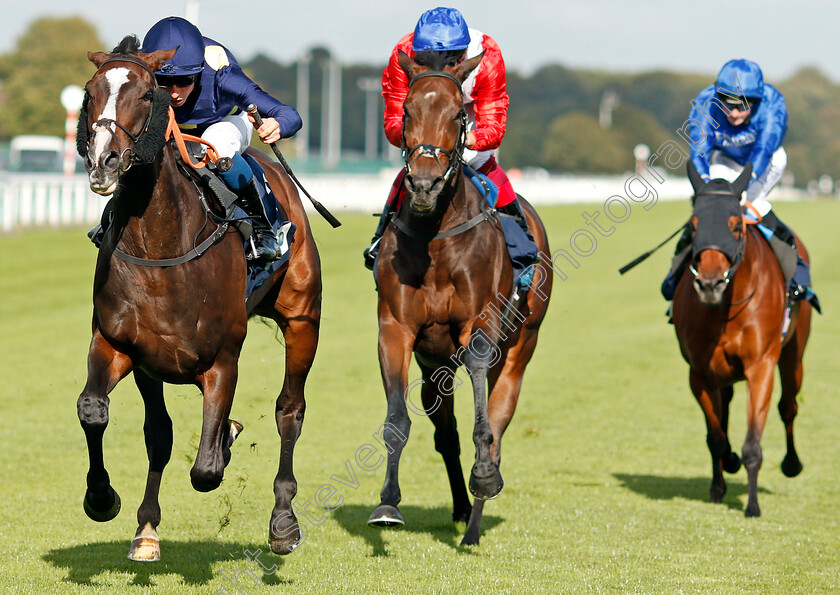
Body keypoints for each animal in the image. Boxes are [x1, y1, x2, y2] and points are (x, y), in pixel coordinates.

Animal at [79, 39, 322, 560]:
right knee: (159, 433)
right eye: (90, 93)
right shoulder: (120, 346)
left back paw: (284, 522)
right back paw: (147, 526)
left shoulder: (222, 359)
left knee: (289, 410)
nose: (104, 161)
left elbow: (207, 469)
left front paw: (224, 441)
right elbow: (98, 411)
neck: (161, 247)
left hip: (302, 319)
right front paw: (104, 499)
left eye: (147, 94)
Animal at [368, 50, 552, 544]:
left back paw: (474, 520)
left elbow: (483, 419)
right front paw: (388, 503)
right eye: (407, 111)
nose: (424, 184)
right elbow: (397, 421)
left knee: (499, 423)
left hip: (522, 346)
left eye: (458, 114)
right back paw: (460, 507)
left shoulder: (479, 325)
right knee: (445, 433)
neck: (436, 236)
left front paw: (484, 477)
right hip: (435, 364)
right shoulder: (397, 329)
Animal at [672, 162, 812, 516]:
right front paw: (722, 477)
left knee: (788, 406)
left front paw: (752, 506)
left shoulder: (760, 366)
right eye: (692, 226)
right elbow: (716, 437)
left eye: (736, 226)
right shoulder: (699, 372)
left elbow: (753, 443)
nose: (710, 284)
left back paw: (792, 463)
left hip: (794, 355)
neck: (726, 310)